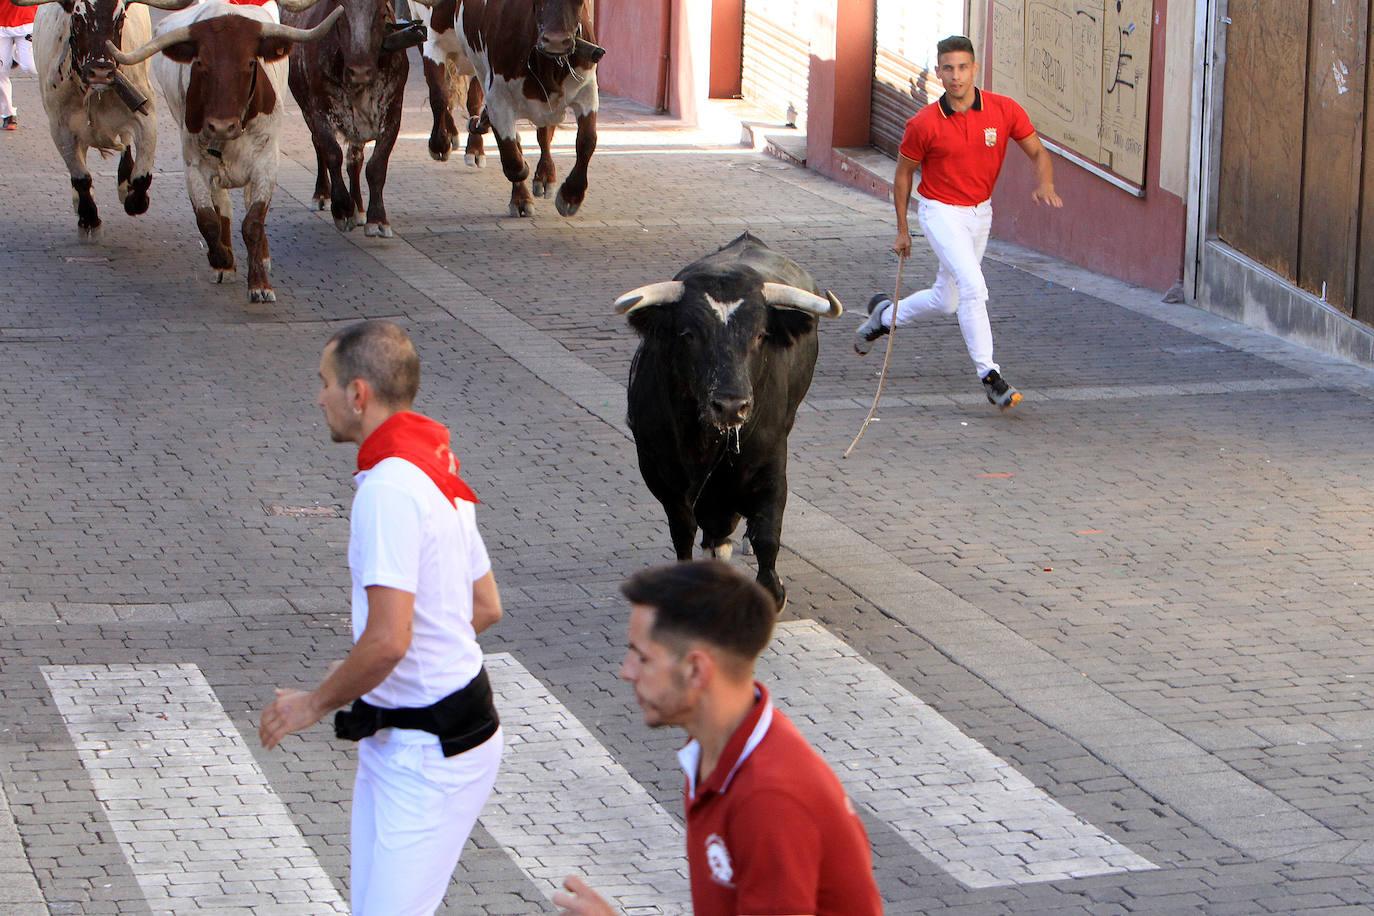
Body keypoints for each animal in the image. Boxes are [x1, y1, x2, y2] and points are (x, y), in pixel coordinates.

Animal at [621, 233, 835, 612]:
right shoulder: (659, 474)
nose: (731, 404)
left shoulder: (770, 463)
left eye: (760, 334)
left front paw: (771, 590)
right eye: (688, 334)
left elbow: (766, 535)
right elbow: (683, 532)